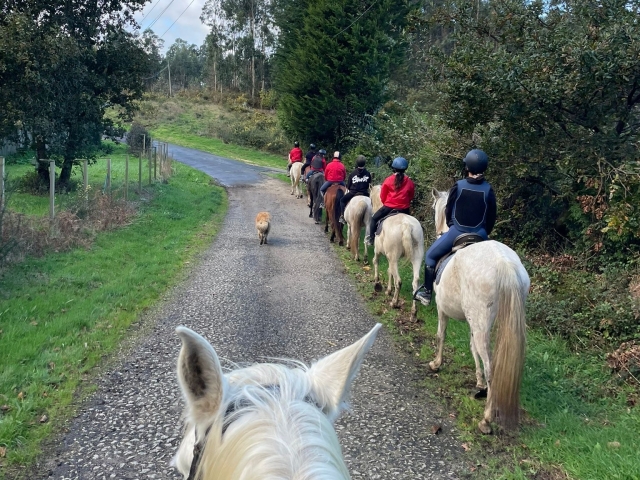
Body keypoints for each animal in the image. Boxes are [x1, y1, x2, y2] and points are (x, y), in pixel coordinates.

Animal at [430, 189, 529, 434]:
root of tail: (505, 264)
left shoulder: (441, 308)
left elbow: (441, 335)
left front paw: (436, 363)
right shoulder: (472, 321)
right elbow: (471, 346)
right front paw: (478, 383)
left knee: (491, 367)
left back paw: (486, 419)